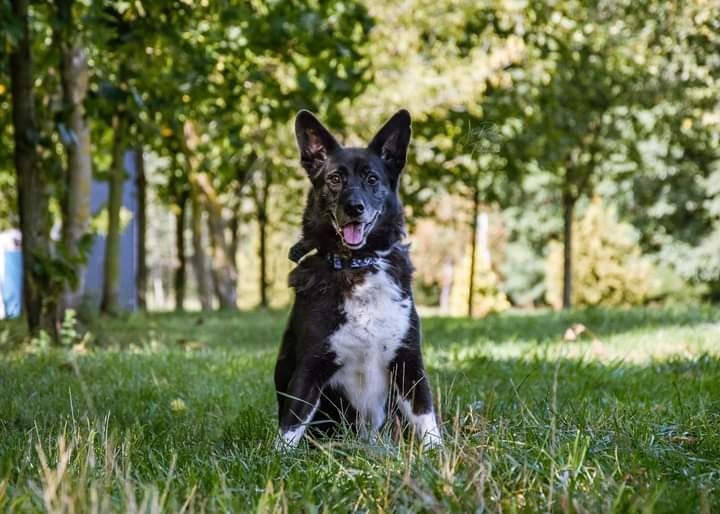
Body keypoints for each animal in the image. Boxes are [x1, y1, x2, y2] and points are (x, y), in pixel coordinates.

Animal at [276, 109, 442, 448]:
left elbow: (426, 418)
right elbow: (291, 425)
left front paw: (441, 454)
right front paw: (276, 459)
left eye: (372, 179)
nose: (355, 207)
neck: (357, 265)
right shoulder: (310, 366)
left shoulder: (409, 363)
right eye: (335, 179)